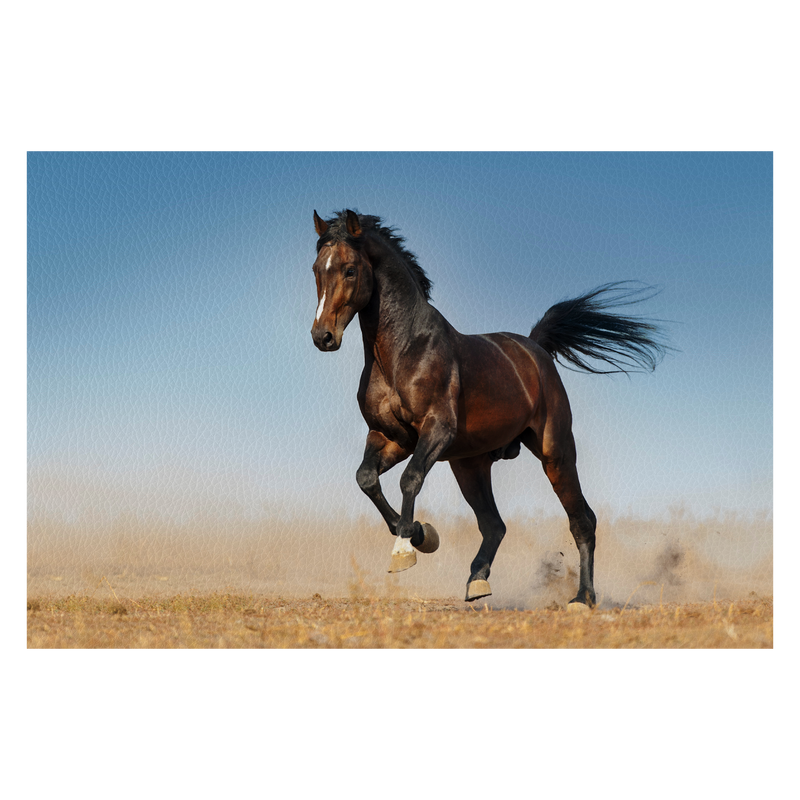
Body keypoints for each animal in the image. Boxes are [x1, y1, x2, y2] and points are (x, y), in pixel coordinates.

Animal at [310, 209, 664, 604]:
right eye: (316, 269)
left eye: (349, 269)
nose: (323, 336)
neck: (402, 352)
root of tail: (535, 349)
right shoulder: (391, 437)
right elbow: (366, 479)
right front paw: (422, 535)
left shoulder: (436, 430)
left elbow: (409, 479)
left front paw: (405, 549)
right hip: (470, 465)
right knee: (494, 525)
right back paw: (477, 581)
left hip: (555, 452)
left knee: (582, 520)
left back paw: (582, 598)